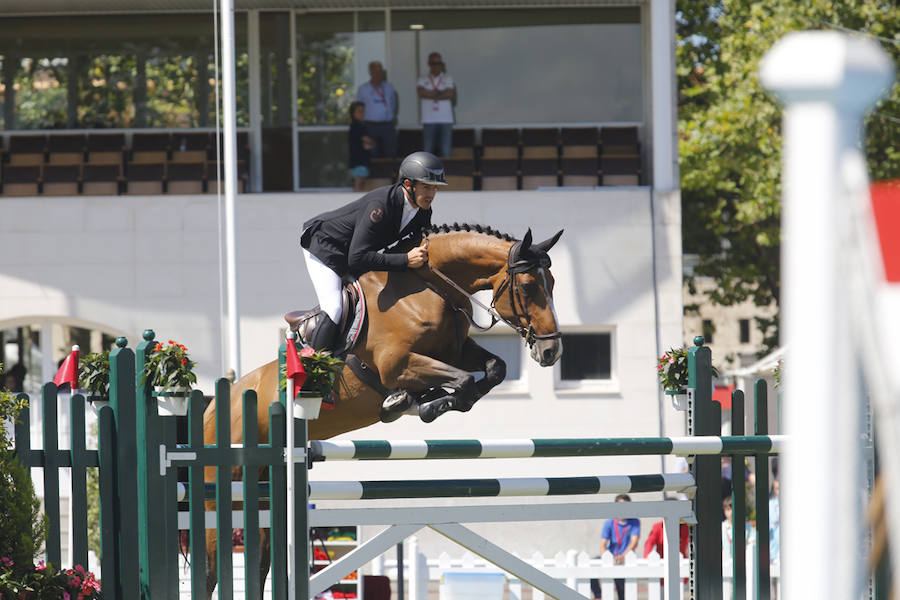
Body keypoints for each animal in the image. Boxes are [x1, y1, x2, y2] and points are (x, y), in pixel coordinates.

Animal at [203, 223, 564, 596]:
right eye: (528, 286)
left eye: (551, 283)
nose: (551, 351)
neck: (428, 289)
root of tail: (217, 403)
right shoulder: (398, 364)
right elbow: (462, 382)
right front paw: (423, 404)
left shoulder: (455, 351)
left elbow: (494, 369)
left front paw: (427, 400)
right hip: (223, 489)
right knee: (214, 562)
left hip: (266, 485)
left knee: (260, 558)